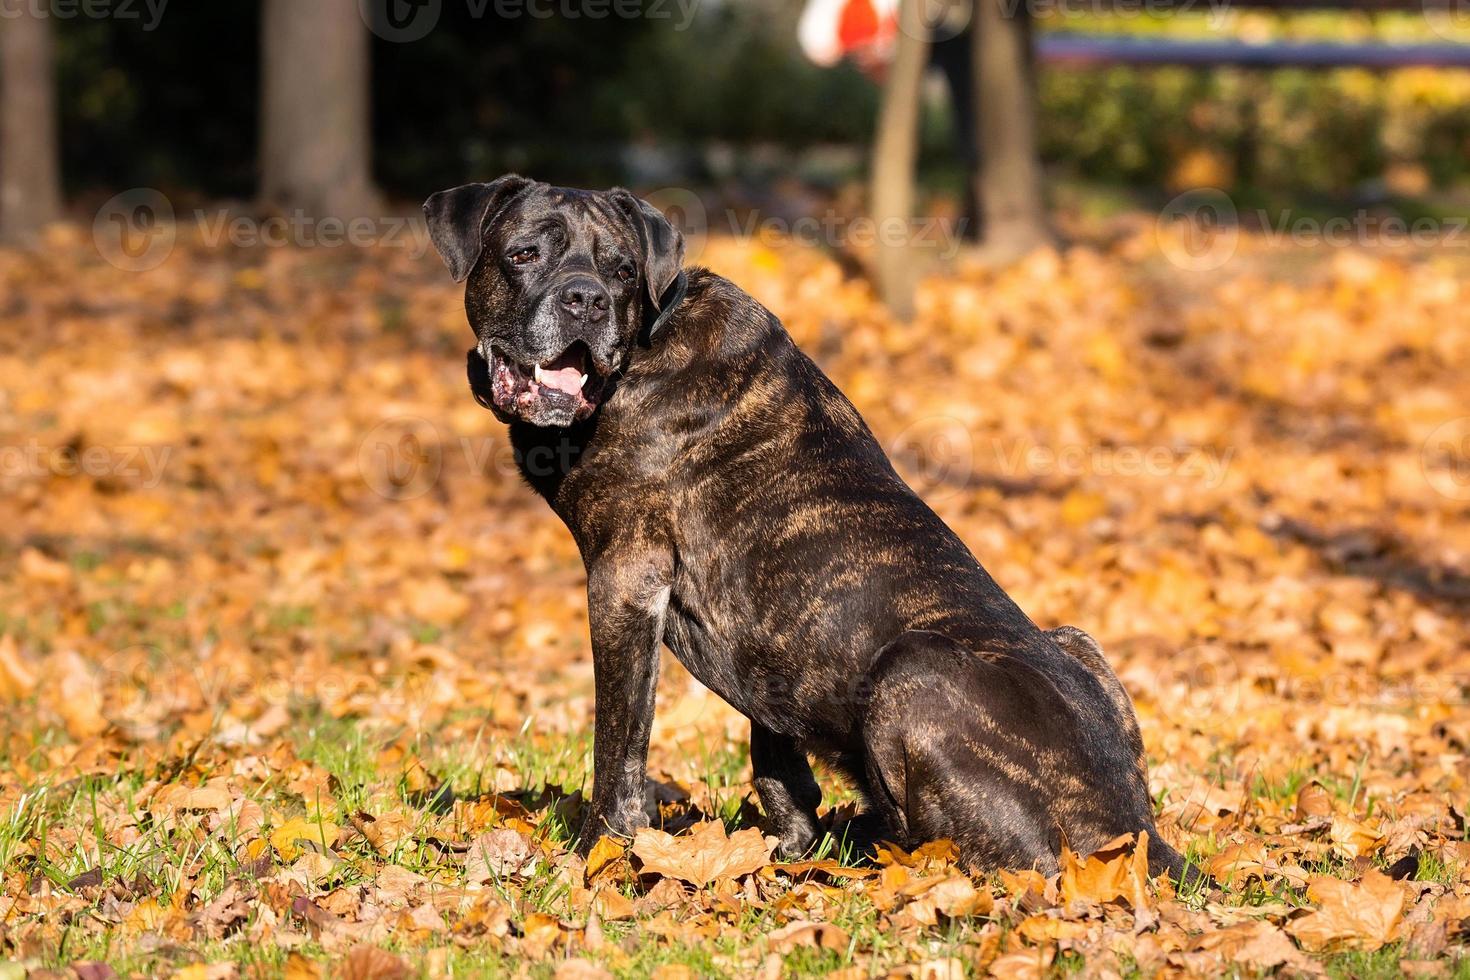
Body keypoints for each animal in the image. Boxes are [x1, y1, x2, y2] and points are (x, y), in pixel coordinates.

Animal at [426, 172, 1193, 875]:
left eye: (620, 270)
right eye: (524, 254)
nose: (585, 298)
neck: (646, 343)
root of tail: (1133, 832)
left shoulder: (624, 580)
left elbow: (619, 741)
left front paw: (596, 857)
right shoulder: (763, 637)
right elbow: (772, 743)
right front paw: (787, 851)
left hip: (912, 668)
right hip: (1077, 639)